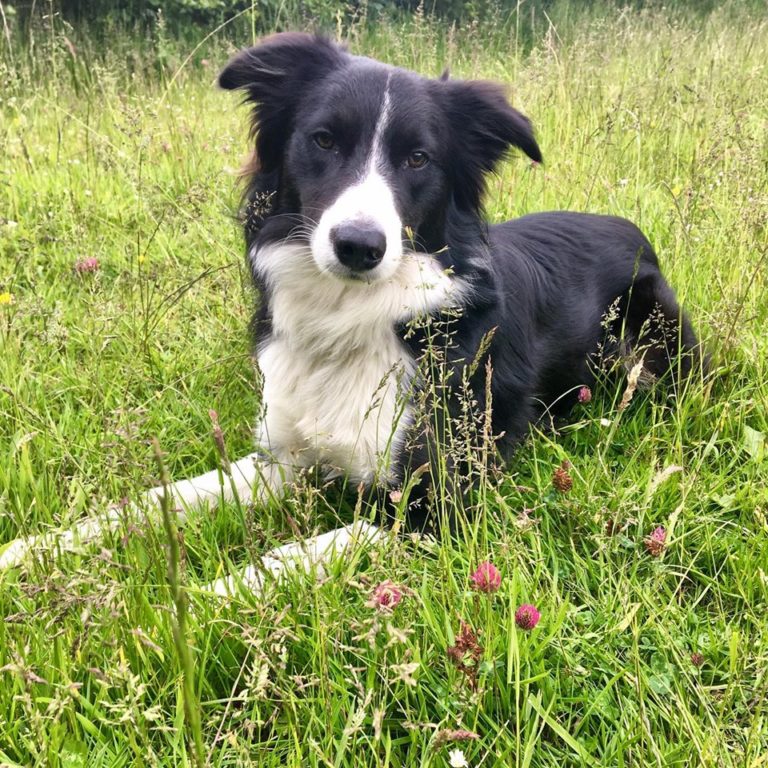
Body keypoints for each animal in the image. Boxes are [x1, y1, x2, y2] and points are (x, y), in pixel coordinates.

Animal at [0, 33, 704, 588]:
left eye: (418, 157)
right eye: (323, 140)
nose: (360, 246)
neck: (350, 316)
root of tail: (629, 227)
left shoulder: (438, 500)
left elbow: (285, 558)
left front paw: (200, 606)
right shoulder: (283, 459)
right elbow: (156, 501)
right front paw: (35, 550)